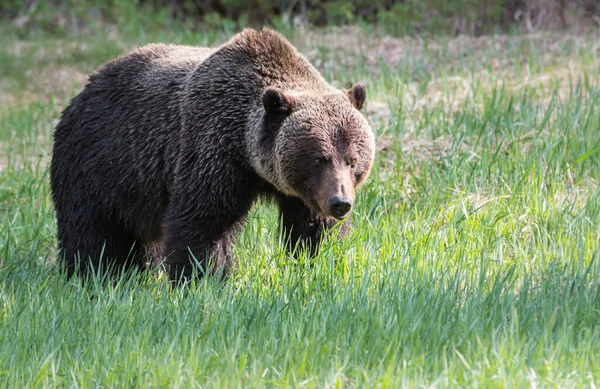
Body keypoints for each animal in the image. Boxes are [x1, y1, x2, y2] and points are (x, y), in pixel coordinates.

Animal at [49, 28, 376, 282]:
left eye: (353, 160)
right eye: (318, 158)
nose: (340, 203)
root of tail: (82, 91)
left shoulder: (301, 192)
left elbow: (313, 229)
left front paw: (315, 264)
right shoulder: (213, 146)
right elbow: (203, 221)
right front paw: (203, 279)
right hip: (99, 162)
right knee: (91, 230)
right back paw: (94, 274)